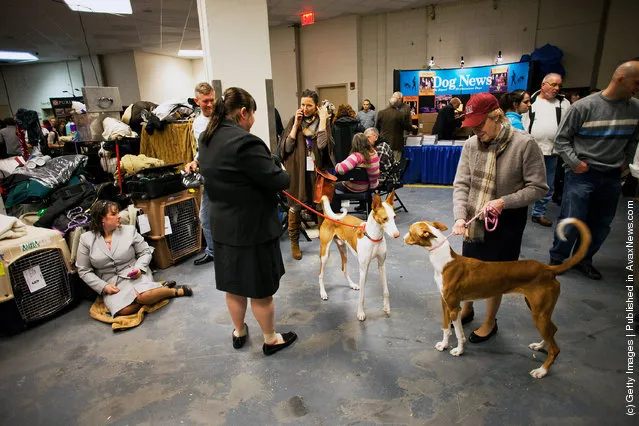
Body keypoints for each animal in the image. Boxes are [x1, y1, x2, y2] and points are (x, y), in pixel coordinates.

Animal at [320, 191, 400, 322]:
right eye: (385, 219)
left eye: (395, 217)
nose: (397, 235)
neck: (373, 237)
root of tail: (329, 216)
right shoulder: (363, 269)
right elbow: (362, 295)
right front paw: (360, 313)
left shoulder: (381, 265)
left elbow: (386, 291)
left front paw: (386, 308)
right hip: (325, 253)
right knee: (320, 274)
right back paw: (323, 293)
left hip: (344, 250)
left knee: (344, 268)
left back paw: (352, 284)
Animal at [404, 218, 592, 378]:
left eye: (410, 231)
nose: (403, 236)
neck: (444, 261)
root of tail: (548, 269)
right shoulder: (445, 303)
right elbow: (446, 328)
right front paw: (443, 345)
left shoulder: (454, 306)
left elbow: (458, 332)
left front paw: (459, 350)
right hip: (538, 309)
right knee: (552, 330)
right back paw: (539, 346)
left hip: (538, 314)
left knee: (555, 348)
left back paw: (542, 371)